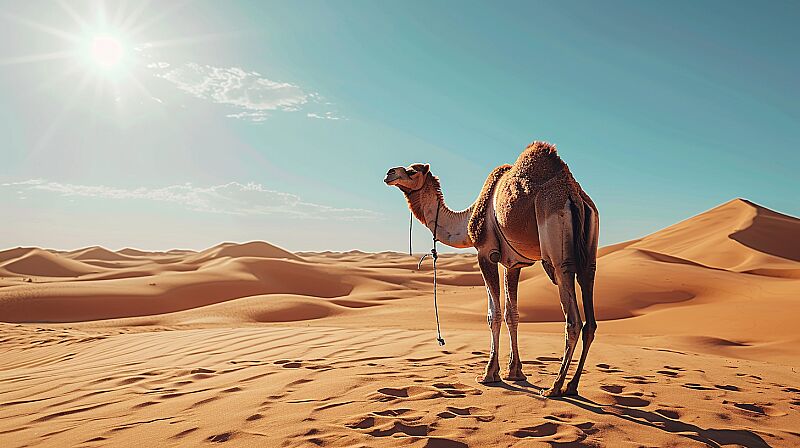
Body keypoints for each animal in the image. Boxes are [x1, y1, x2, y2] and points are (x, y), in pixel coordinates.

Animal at [384, 141, 596, 396]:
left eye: (412, 171)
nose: (389, 173)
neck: (466, 221)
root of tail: (574, 196)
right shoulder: (513, 264)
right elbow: (512, 314)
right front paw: (515, 372)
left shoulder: (486, 253)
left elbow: (492, 315)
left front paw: (489, 374)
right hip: (589, 254)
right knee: (590, 319)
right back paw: (572, 386)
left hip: (557, 256)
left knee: (573, 320)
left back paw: (554, 387)